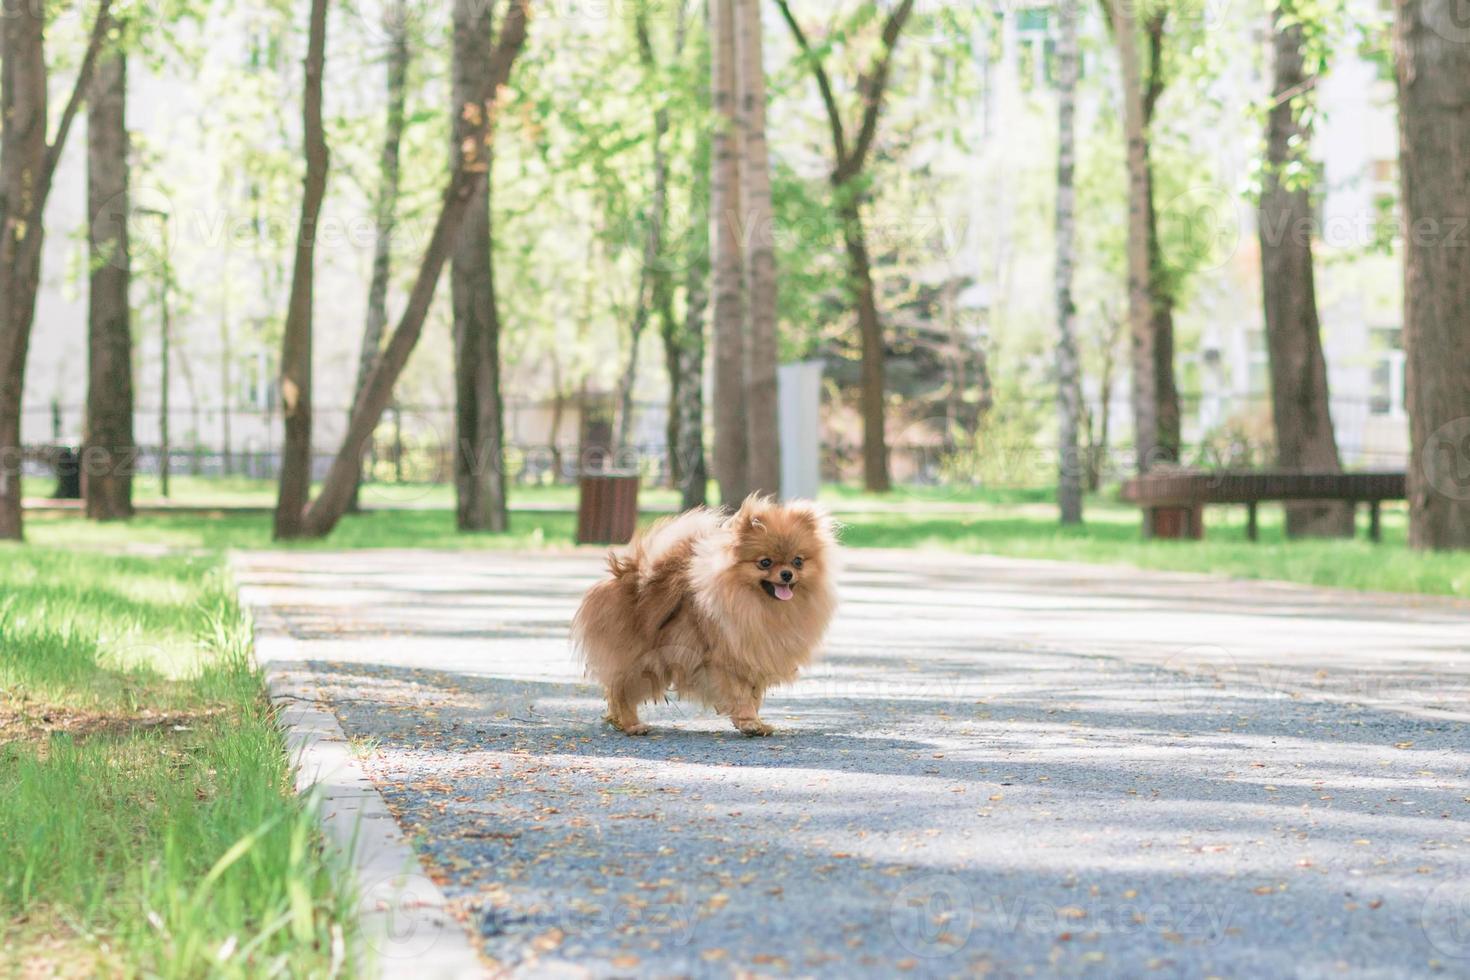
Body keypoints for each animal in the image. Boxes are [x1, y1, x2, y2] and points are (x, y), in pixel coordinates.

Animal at [570, 499, 840, 734]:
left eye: (798, 561)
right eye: (765, 562)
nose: (786, 574)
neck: (761, 606)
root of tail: (630, 575)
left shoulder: (755, 659)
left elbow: (754, 695)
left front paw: (754, 722)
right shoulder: (726, 661)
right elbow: (740, 694)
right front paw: (749, 722)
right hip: (642, 662)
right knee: (620, 691)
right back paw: (631, 725)